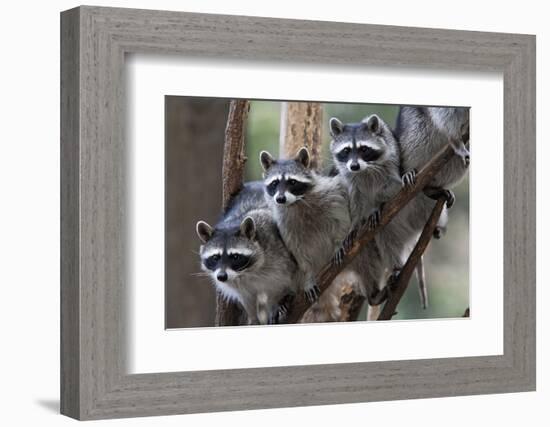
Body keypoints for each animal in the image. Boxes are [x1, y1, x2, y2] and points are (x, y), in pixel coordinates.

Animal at [195, 181, 298, 324]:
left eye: (235, 257)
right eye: (215, 257)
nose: (221, 277)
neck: (246, 272)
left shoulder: (278, 253)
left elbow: (281, 283)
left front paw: (276, 303)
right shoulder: (238, 284)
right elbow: (247, 299)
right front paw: (253, 318)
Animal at [260, 149, 354, 302]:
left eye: (292, 182)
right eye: (274, 183)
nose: (280, 199)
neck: (297, 202)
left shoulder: (331, 194)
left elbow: (342, 219)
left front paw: (340, 242)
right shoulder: (285, 224)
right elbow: (298, 252)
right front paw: (308, 276)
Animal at [330, 115, 430, 316]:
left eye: (363, 149)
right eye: (346, 150)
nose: (354, 165)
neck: (364, 169)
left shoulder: (391, 161)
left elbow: (392, 186)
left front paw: (377, 205)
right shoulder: (349, 177)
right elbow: (354, 197)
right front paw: (355, 223)